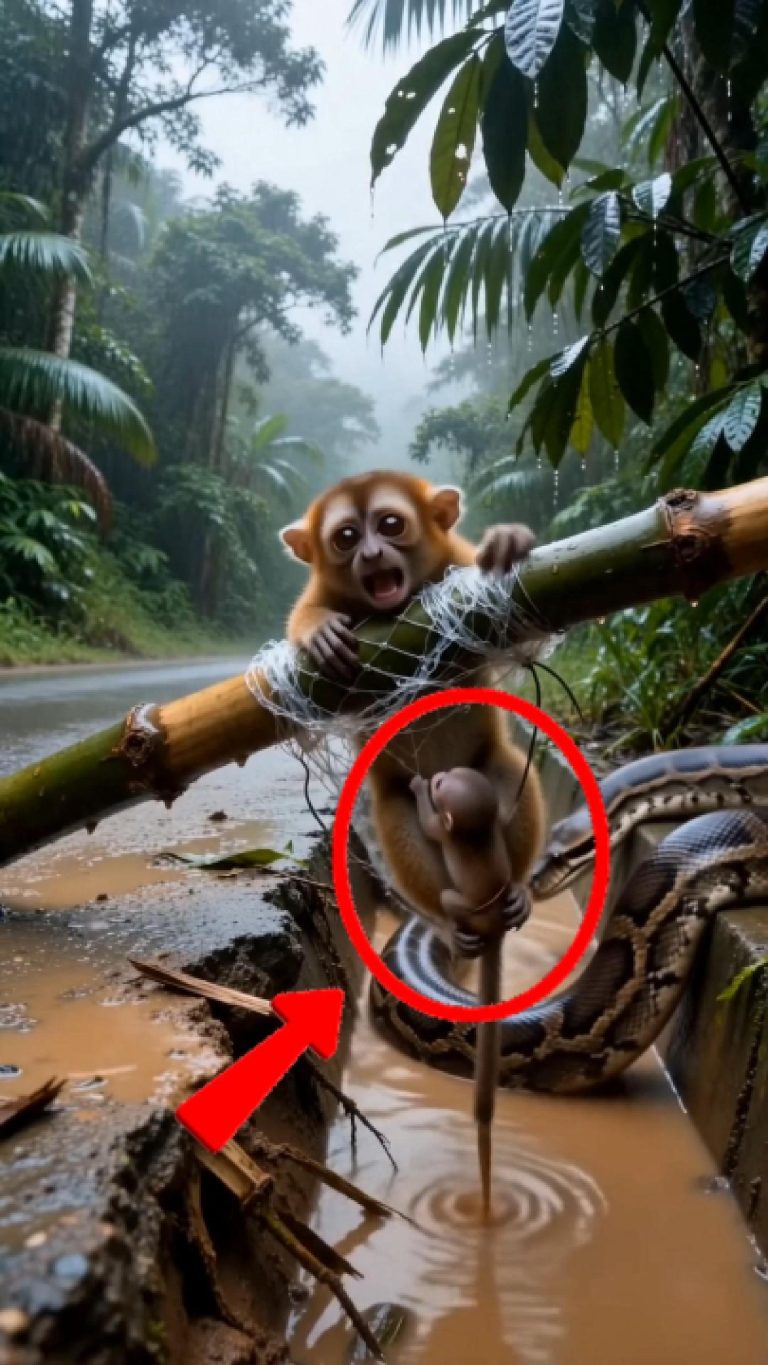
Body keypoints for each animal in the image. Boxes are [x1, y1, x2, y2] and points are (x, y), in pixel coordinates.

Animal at [280, 470, 545, 951]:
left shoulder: (457, 567)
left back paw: (515, 891)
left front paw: (508, 541)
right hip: (412, 804)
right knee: (397, 815)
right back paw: (451, 921)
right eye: (346, 537)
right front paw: (318, 629)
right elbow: (303, 616)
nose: (370, 554)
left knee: (509, 767)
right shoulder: (323, 591)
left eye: (390, 525)